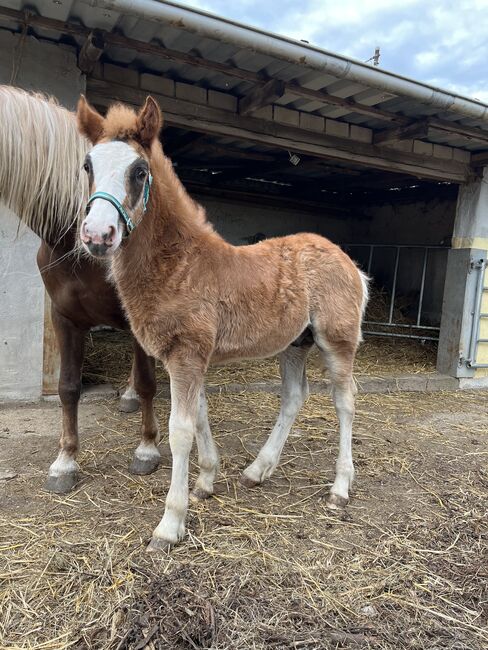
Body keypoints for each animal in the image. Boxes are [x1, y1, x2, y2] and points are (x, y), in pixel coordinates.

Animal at [0, 86, 160, 492]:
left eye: (140, 171)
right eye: (86, 166)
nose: (98, 236)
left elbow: (149, 382)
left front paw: (147, 449)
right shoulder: (64, 318)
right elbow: (68, 387)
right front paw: (65, 462)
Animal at [76, 95, 368, 548]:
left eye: (139, 171)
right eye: (88, 165)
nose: (97, 235)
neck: (178, 264)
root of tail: (348, 261)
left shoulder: (187, 354)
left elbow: (180, 430)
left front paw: (170, 524)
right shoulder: (188, 357)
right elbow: (199, 416)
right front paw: (206, 482)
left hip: (336, 340)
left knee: (345, 400)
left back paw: (339, 489)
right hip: (295, 344)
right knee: (294, 397)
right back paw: (257, 471)